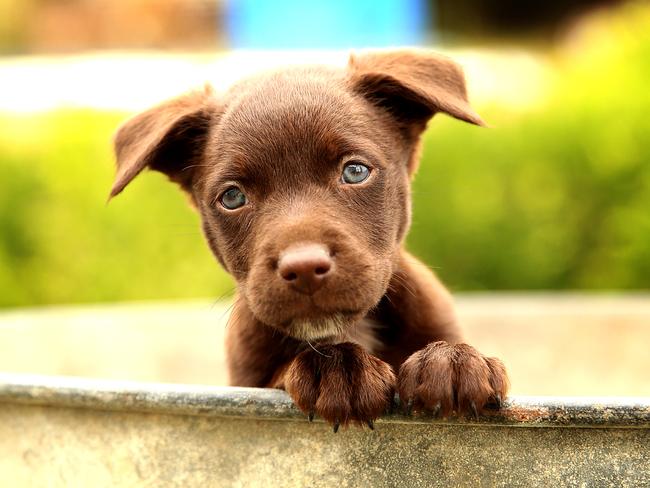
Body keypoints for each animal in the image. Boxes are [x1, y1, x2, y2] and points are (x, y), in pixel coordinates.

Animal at [110, 49, 506, 430]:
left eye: (355, 171)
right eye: (232, 197)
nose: (303, 268)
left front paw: (451, 360)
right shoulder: (249, 381)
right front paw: (336, 368)